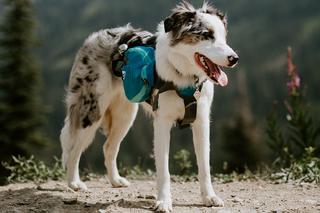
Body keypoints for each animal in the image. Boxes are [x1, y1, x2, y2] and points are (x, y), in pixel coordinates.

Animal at [61, 1, 239, 211]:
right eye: (207, 35)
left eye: (223, 36)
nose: (234, 58)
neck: (184, 76)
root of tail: (94, 37)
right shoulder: (162, 122)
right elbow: (163, 170)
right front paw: (163, 201)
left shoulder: (201, 121)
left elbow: (204, 165)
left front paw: (209, 197)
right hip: (91, 111)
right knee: (73, 149)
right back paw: (74, 183)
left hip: (125, 115)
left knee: (109, 147)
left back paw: (115, 180)